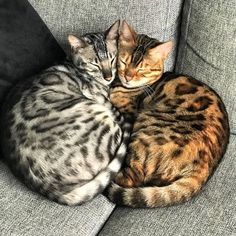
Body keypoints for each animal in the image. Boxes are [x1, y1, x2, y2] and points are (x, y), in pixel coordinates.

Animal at [0, 20, 133, 205]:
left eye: (112, 58)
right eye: (95, 64)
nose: (108, 77)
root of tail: (50, 189)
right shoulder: (103, 100)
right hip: (99, 116)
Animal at [106, 21, 229, 207]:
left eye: (143, 70)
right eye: (123, 61)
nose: (127, 77)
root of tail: (204, 168)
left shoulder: (128, 113)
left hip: (144, 128)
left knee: (134, 177)